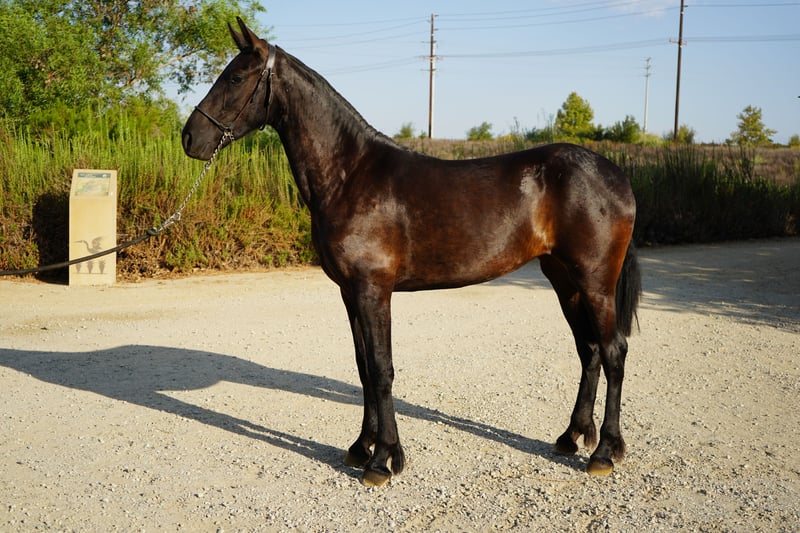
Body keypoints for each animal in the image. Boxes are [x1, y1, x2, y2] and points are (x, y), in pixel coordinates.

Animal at [182, 18, 642, 487]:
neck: (350, 175)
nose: (189, 137)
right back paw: (571, 437)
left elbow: (382, 368)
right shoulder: (350, 292)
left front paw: (383, 459)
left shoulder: (373, 289)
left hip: (595, 282)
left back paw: (605, 451)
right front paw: (361, 447)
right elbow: (364, 366)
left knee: (613, 351)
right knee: (588, 351)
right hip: (564, 280)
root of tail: (615, 175)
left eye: (236, 77)